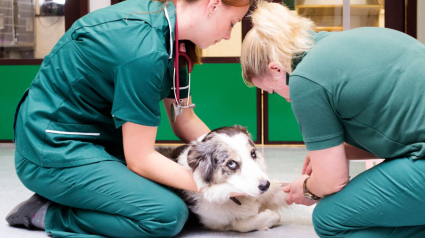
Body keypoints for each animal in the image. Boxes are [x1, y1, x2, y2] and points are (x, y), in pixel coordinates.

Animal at [157, 125, 290, 231]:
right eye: (231, 164)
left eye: (253, 154)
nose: (265, 185)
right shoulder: (214, 221)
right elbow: (240, 225)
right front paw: (272, 216)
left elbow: (284, 188)